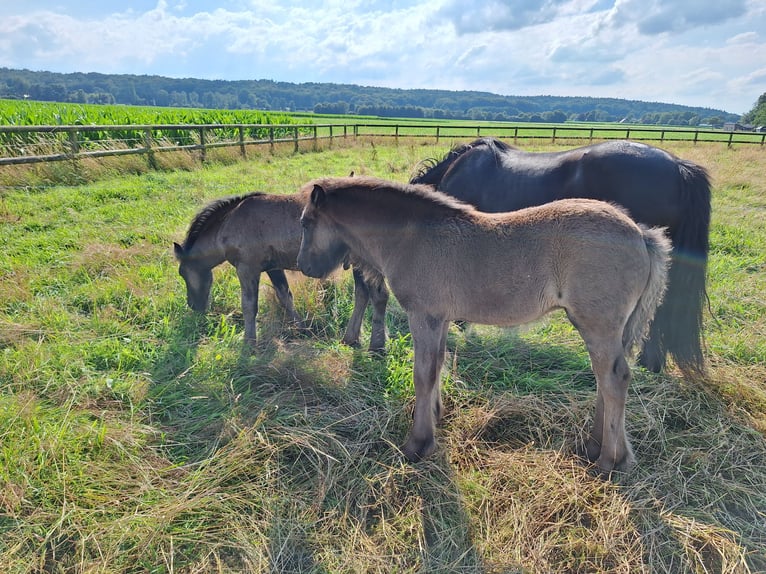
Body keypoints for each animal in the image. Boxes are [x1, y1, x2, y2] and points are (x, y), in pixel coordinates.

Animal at [175, 191, 390, 348]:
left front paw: (249, 343)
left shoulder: (247, 268)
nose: (193, 305)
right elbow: (285, 296)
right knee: (362, 294)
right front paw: (302, 329)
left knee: (379, 296)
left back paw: (376, 347)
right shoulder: (273, 268)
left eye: (182, 273)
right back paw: (351, 339)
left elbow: (249, 305)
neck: (229, 222)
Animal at [296, 178, 668, 474]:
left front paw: (418, 443)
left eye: (306, 222)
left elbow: (423, 374)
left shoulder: (424, 315)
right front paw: (437, 418)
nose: (305, 267)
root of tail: (640, 233)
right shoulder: (440, 318)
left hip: (597, 324)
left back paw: (609, 461)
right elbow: (437, 367)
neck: (412, 235)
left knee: (614, 378)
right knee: (605, 378)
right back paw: (593, 446)